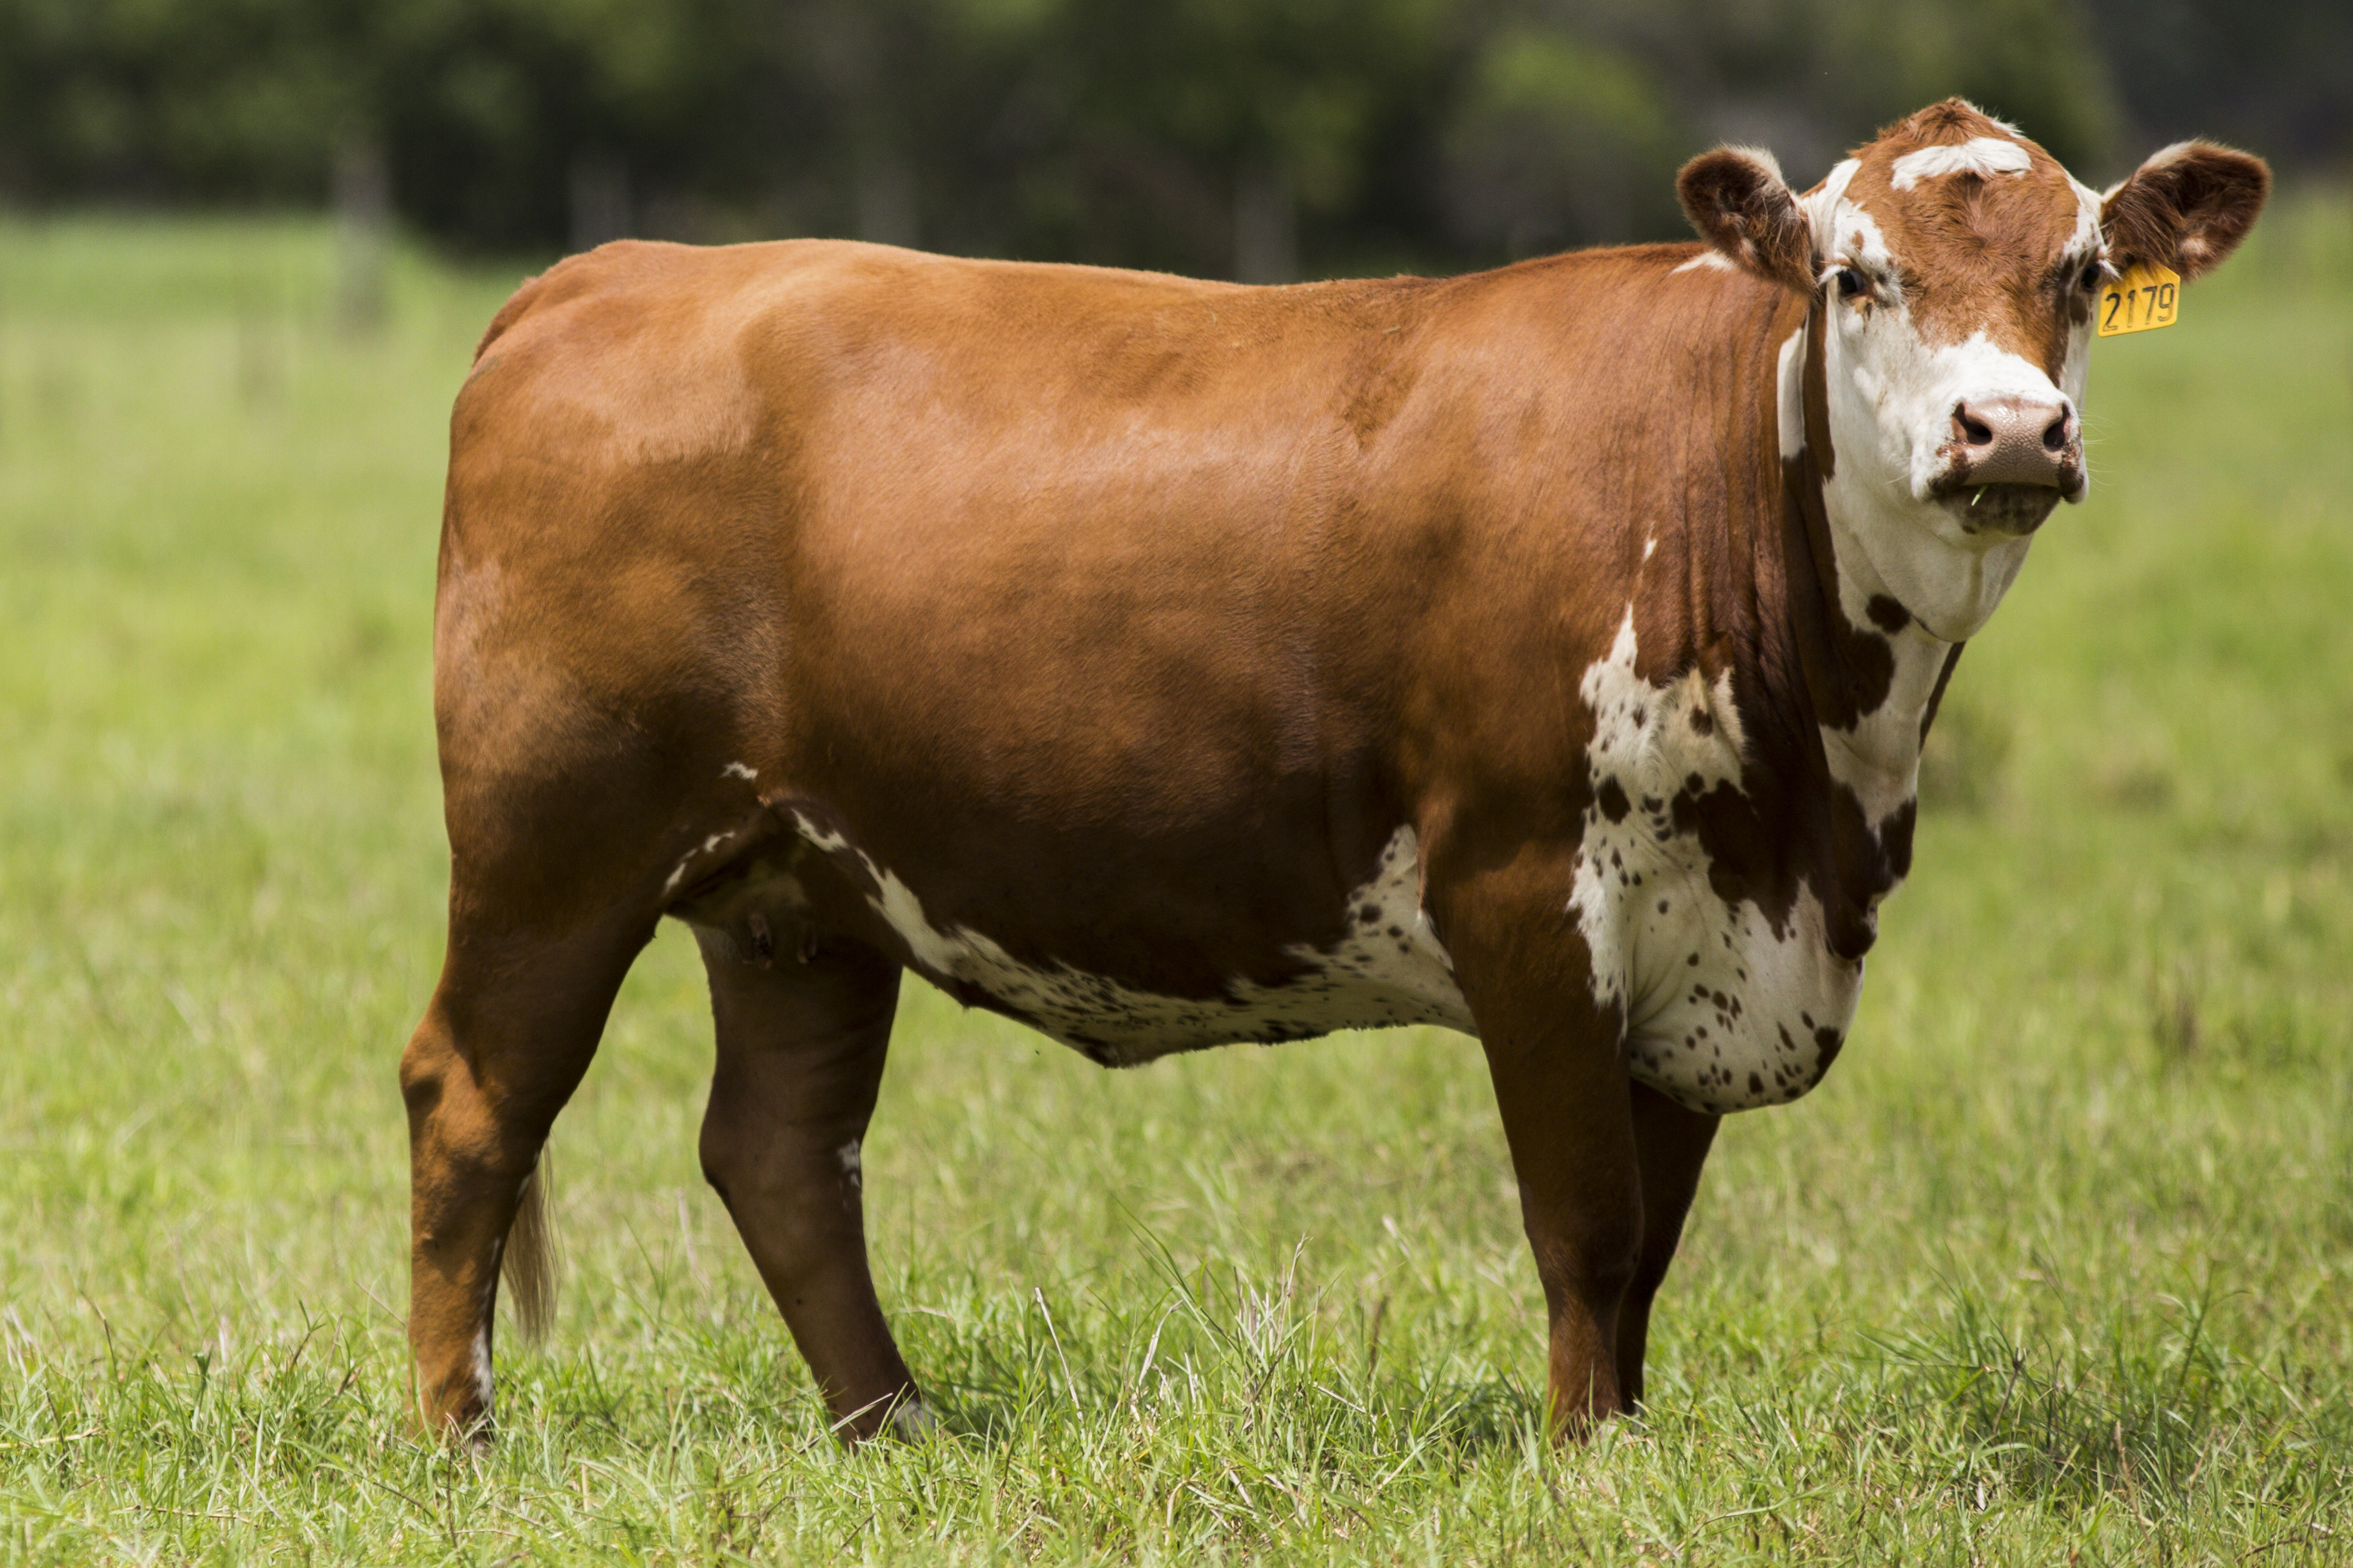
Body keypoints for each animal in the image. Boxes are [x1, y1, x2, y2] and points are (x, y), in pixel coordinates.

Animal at [400, 101, 2259, 1448]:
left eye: (2079, 272)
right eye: (1857, 274)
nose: (2008, 433)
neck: (1819, 790)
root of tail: (608, 272)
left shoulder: (1715, 945)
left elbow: (1649, 1248)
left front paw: (1627, 1433)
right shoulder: (1525, 890)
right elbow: (1585, 1224)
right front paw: (1585, 1461)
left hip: (804, 887)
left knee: (785, 1155)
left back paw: (897, 1428)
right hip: (554, 842)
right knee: (474, 1100)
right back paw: (460, 1438)